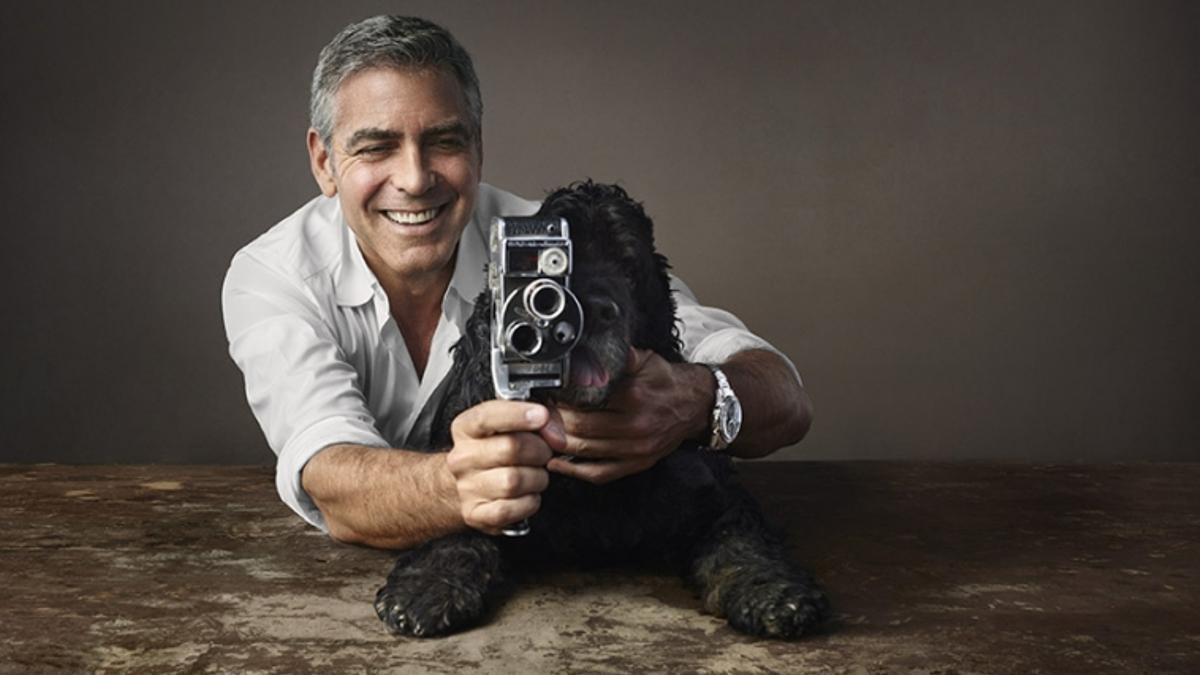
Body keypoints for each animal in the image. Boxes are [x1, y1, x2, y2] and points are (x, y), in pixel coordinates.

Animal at [372, 180, 825, 634]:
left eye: (627, 265)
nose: (591, 312)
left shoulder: (713, 494)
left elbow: (741, 540)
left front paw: (772, 593)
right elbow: (458, 528)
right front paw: (427, 586)